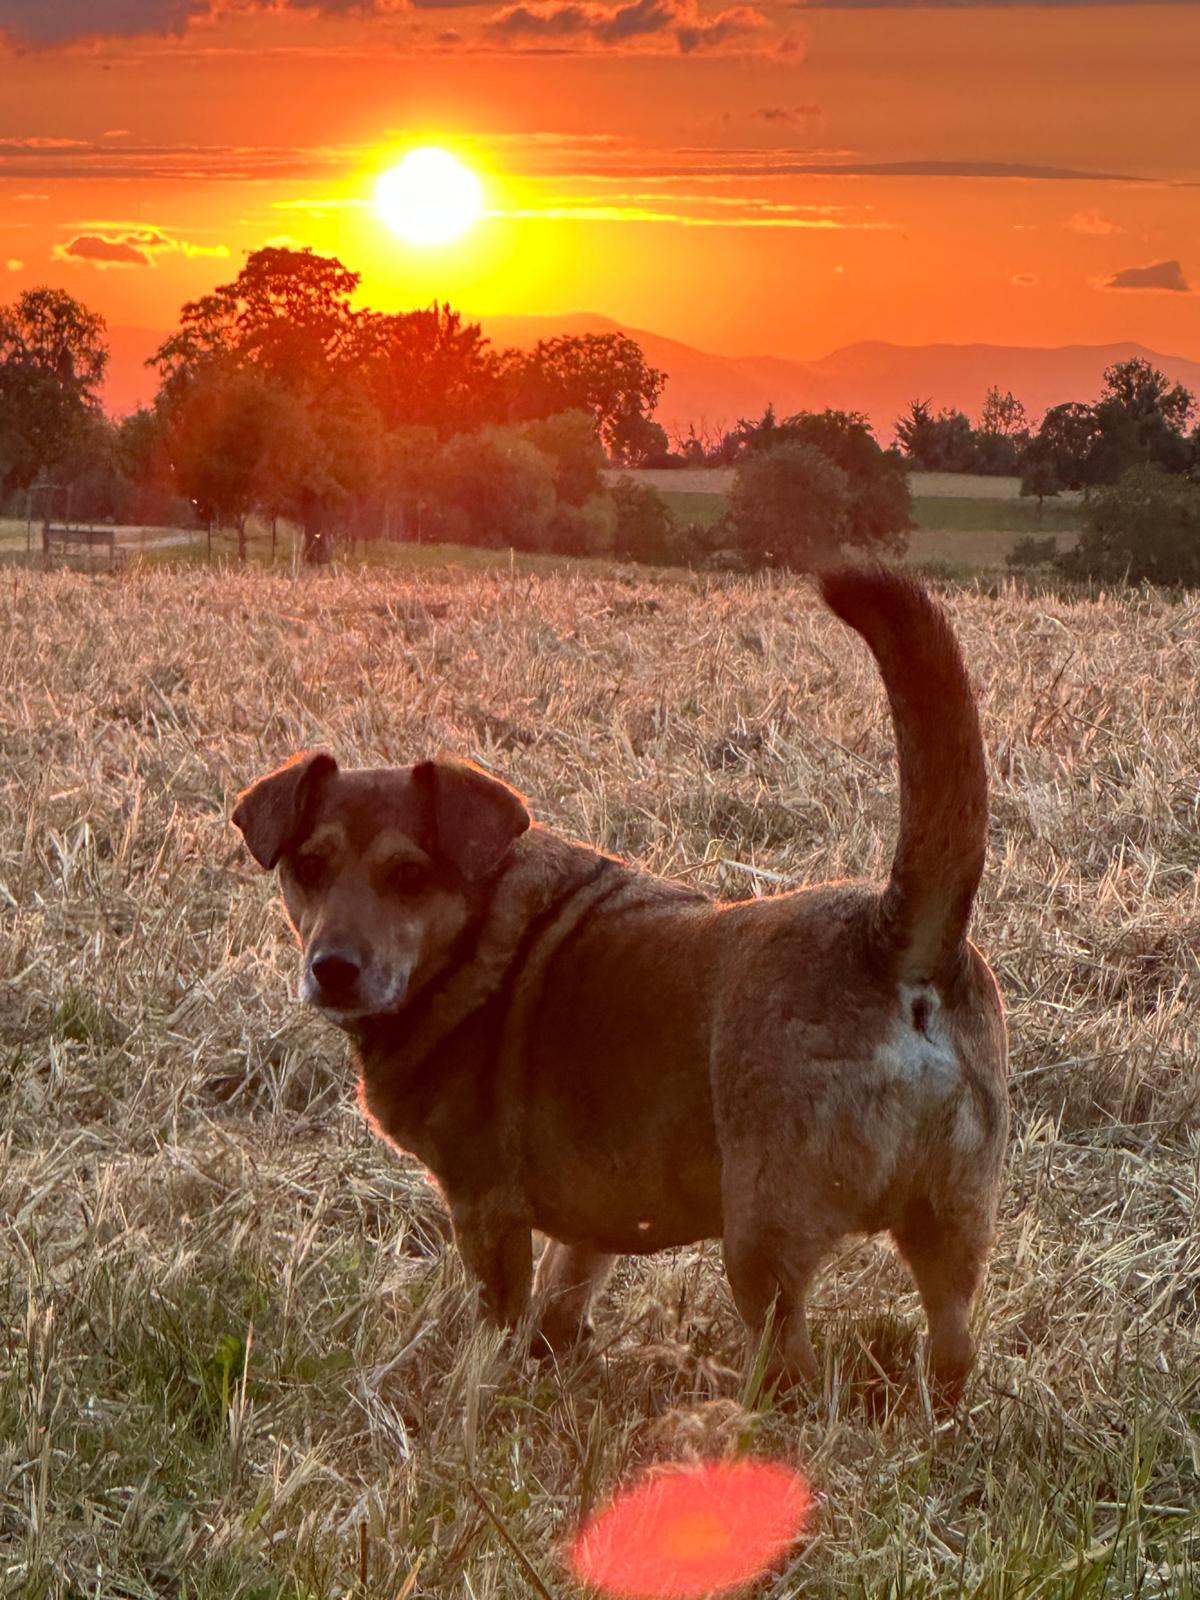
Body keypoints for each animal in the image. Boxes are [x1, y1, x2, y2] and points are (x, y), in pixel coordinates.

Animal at [232, 568, 1008, 1405]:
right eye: (308, 866)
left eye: (407, 875)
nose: (332, 969)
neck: (470, 931)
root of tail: (894, 941)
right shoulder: (592, 1219)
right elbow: (564, 1293)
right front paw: (556, 1362)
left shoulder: (484, 1208)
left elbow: (499, 1321)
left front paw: (486, 1390)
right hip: (954, 1230)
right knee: (954, 1348)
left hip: (762, 1243)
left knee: (794, 1372)